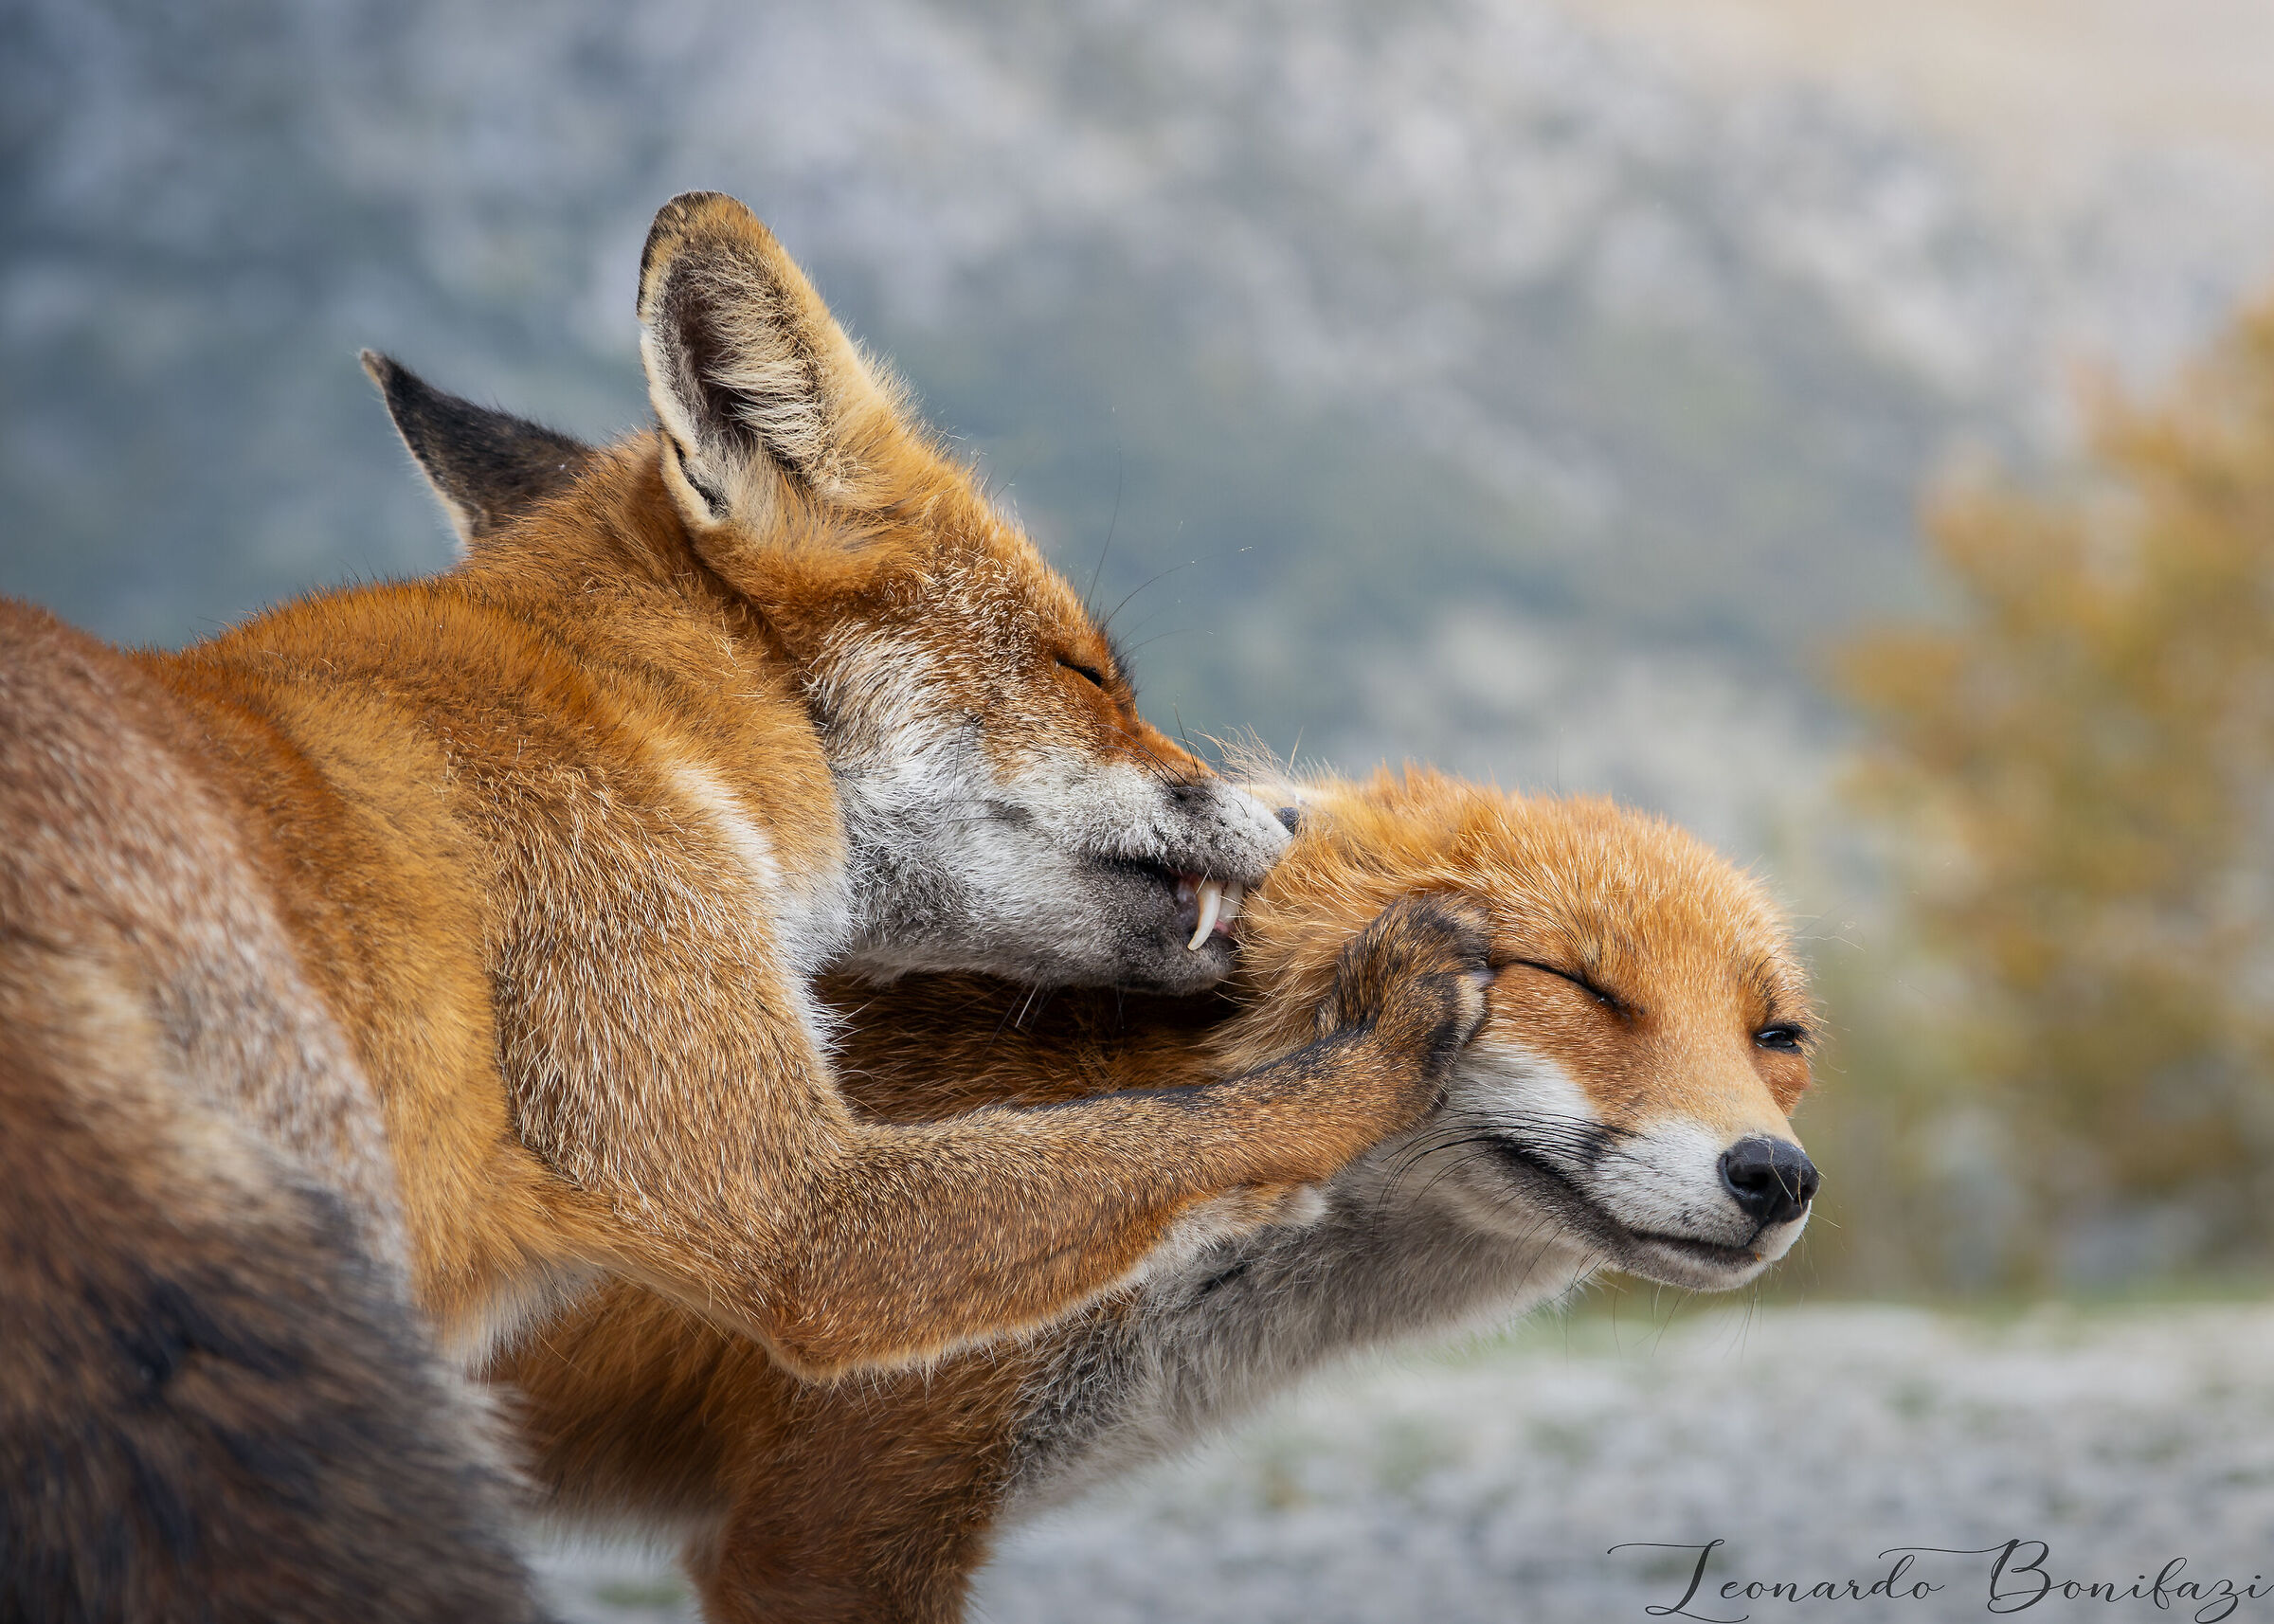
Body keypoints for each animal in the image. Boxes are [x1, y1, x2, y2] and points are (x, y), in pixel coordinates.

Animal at [0, 192, 1489, 1620]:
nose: (1295, 820)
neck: (665, 721)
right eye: (1086, 672)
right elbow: (1177, 1128)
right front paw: (1381, 1025)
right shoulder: (793, 1208)